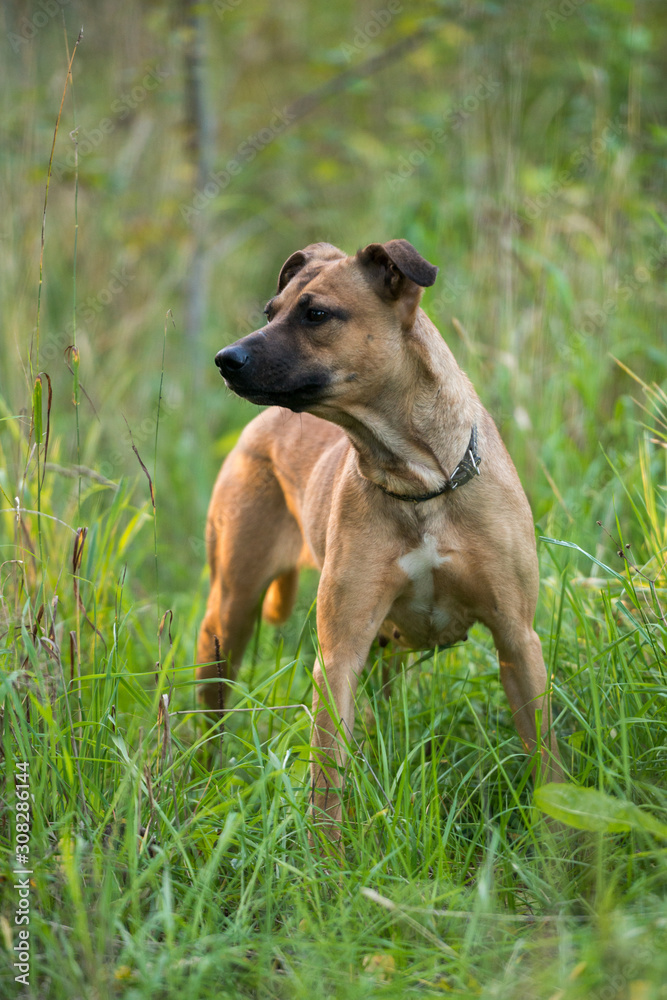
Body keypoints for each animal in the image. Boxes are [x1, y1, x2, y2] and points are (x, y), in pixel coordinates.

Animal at [197, 240, 564, 836]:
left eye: (316, 314)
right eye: (270, 312)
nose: (225, 359)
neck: (421, 481)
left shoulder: (517, 639)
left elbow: (546, 756)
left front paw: (558, 841)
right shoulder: (339, 655)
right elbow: (327, 779)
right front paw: (326, 854)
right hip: (228, 616)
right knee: (211, 709)